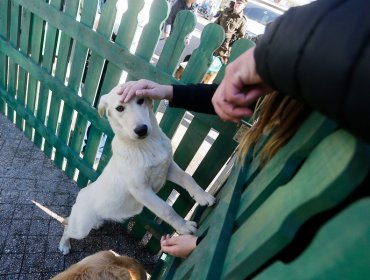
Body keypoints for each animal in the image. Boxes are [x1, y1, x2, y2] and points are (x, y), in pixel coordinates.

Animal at [59, 85, 215, 254]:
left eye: (141, 100)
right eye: (120, 108)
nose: (141, 130)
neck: (145, 145)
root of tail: (81, 194)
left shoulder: (167, 167)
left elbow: (187, 177)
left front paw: (203, 196)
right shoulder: (141, 190)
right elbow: (166, 209)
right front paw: (184, 226)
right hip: (81, 228)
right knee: (67, 228)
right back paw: (64, 245)